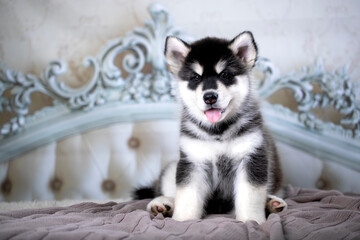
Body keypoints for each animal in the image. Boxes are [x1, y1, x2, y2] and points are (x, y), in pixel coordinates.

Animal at [135, 31, 286, 224]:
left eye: (225, 75)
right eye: (196, 77)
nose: (210, 97)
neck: (217, 131)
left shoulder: (252, 157)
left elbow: (250, 197)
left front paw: (251, 221)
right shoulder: (193, 161)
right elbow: (187, 196)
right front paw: (182, 220)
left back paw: (271, 203)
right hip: (172, 168)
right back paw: (162, 204)